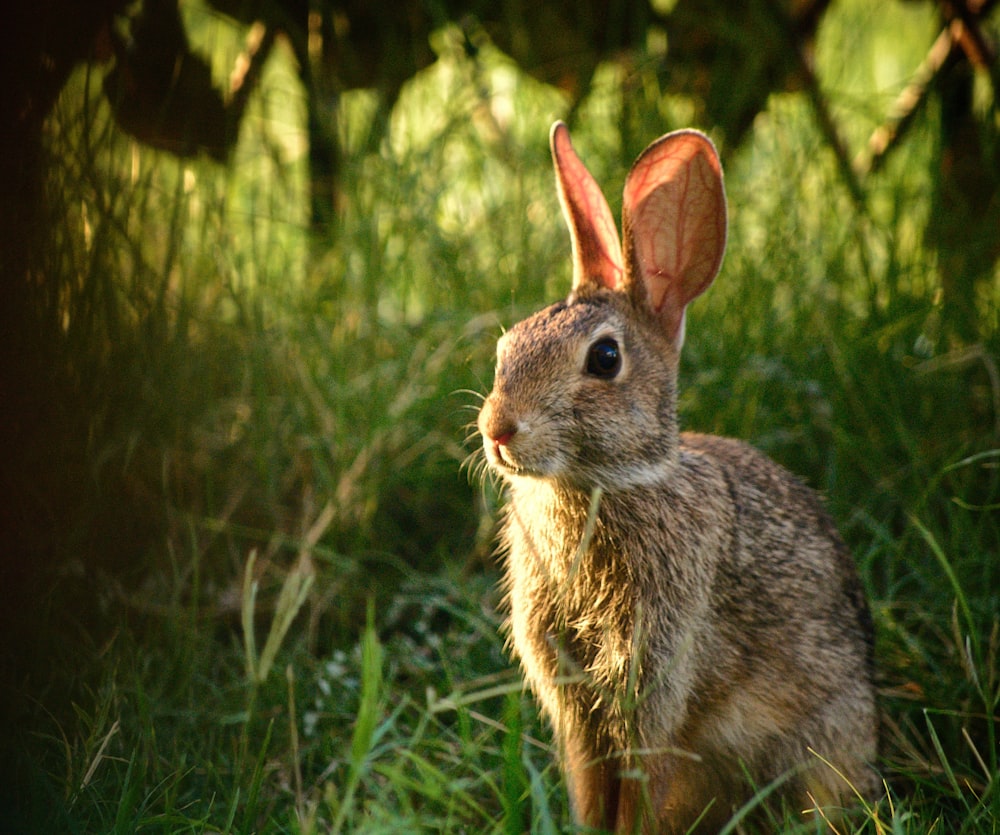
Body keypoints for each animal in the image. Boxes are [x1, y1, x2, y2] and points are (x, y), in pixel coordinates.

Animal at [476, 121, 876, 832]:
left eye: (605, 358)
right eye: (507, 345)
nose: (499, 430)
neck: (604, 485)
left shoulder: (657, 674)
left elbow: (640, 780)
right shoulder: (575, 705)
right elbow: (590, 784)